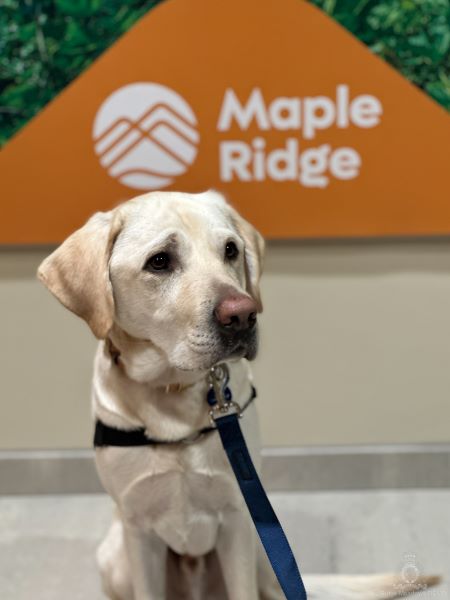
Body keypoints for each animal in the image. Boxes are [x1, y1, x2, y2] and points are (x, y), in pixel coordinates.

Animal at [38, 192, 440, 600]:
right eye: (160, 261)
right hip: (113, 559)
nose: (243, 315)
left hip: (263, 553)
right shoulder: (139, 530)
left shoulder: (235, 517)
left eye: (230, 250)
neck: (173, 391)